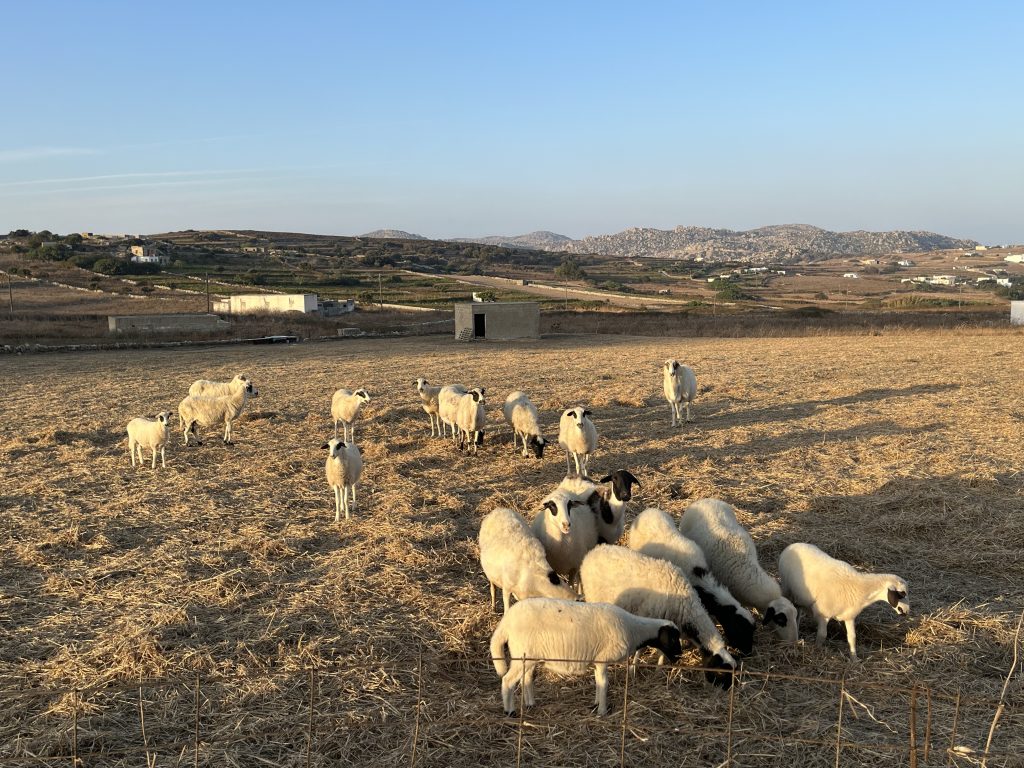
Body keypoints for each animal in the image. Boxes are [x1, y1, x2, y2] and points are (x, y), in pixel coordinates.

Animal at [489, 598, 684, 720]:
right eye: (674, 638)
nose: (680, 656)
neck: (634, 630)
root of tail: (505, 622)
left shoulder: (598, 661)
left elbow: (598, 681)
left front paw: (596, 704)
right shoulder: (603, 659)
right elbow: (604, 683)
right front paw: (603, 711)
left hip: (528, 656)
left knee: (526, 678)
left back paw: (530, 703)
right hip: (522, 653)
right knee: (508, 680)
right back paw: (510, 711)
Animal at [577, 544, 737, 688]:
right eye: (721, 673)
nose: (722, 691)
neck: (686, 608)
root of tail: (594, 551)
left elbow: (662, 650)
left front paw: (659, 670)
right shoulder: (648, 617)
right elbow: (641, 648)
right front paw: (633, 669)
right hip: (593, 596)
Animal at [778, 540, 909, 663]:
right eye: (901, 593)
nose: (907, 611)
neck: (860, 588)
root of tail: (792, 545)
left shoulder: (849, 616)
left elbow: (852, 638)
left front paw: (854, 659)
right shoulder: (823, 614)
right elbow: (822, 635)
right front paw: (817, 651)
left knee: (798, 610)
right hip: (787, 589)